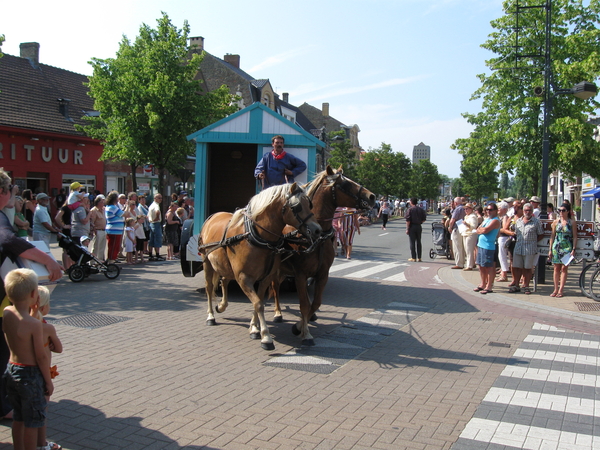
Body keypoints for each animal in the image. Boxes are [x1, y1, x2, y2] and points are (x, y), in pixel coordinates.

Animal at [198, 181, 322, 350]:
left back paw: (222, 306)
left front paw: (254, 328)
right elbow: (258, 304)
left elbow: (259, 301)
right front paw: (266, 336)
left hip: (227, 267)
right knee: (209, 287)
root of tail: (213, 216)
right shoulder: (244, 278)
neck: (257, 236)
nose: (317, 230)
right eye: (297, 206)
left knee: (224, 281)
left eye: (309, 204)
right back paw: (210, 316)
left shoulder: (265, 277)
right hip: (207, 262)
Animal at [272, 167, 376, 346]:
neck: (316, 236)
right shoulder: (300, 275)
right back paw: (277, 313)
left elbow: (315, 303)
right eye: (346, 183)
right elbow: (304, 305)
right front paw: (304, 332)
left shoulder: (322, 274)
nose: (372, 196)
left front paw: (299, 326)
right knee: (274, 288)